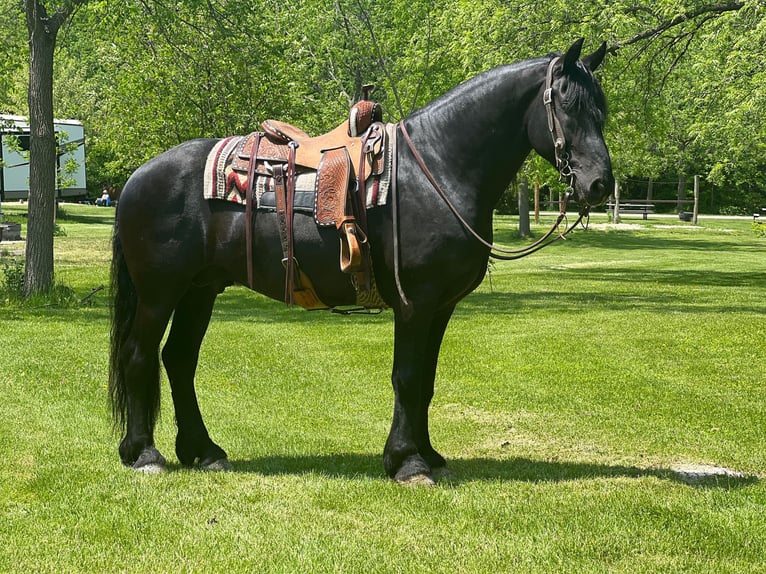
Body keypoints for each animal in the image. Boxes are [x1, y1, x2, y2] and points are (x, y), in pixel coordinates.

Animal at [108, 38, 616, 486]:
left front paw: (429, 455)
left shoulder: (442, 306)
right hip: (160, 292)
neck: (436, 168)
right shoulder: (416, 303)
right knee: (139, 356)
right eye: (567, 106)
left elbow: (427, 382)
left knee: (178, 360)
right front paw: (407, 463)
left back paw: (203, 451)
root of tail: (137, 177)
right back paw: (144, 454)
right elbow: (407, 378)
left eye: (602, 109)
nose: (599, 185)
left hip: (200, 289)